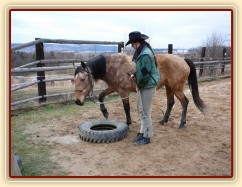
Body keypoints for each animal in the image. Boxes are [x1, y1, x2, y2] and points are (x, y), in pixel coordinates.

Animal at [72, 52, 206, 129]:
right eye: (73, 80)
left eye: (83, 79)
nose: (77, 101)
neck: (115, 66)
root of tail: (183, 60)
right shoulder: (114, 88)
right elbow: (101, 95)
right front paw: (105, 112)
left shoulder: (123, 91)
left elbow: (126, 108)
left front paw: (128, 123)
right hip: (169, 87)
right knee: (170, 103)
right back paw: (163, 121)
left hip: (176, 87)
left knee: (185, 102)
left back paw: (182, 123)